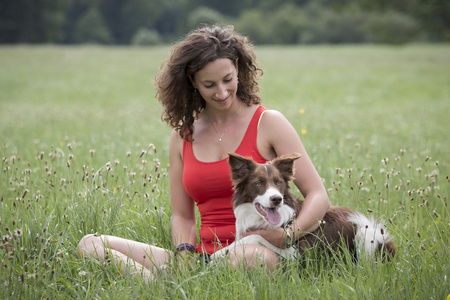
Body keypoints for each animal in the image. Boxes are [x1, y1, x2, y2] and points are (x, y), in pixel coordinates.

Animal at [209, 154, 396, 262]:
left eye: (279, 182)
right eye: (258, 183)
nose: (277, 199)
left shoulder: (296, 253)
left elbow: (255, 237)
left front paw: (218, 254)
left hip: (367, 234)